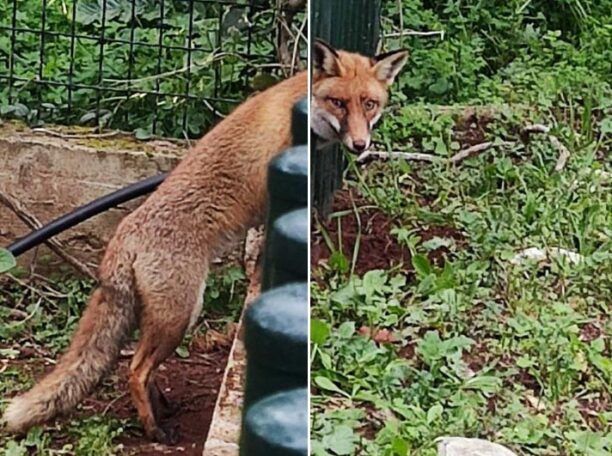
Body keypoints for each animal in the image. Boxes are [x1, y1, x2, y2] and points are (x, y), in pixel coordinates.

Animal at [0, 72, 306, 446]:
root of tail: (123, 235)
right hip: (180, 314)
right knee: (136, 370)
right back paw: (154, 428)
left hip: (169, 315)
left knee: (145, 365)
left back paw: (161, 408)